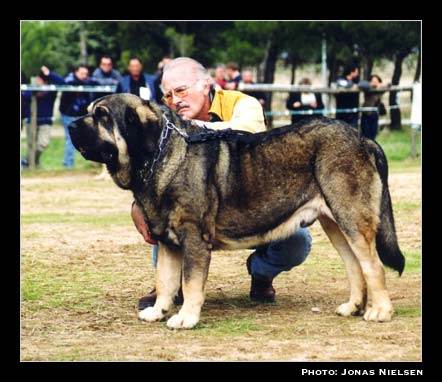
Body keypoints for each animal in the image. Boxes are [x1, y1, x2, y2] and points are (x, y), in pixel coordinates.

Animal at [69, 92, 404, 328]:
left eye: (101, 115)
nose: (71, 125)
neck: (161, 155)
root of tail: (364, 138)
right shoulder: (168, 242)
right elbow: (165, 280)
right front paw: (158, 310)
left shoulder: (194, 239)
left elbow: (190, 282)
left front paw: (185, 317)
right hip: (334, 222)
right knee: (354, 265)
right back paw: (353, 307)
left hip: (352, 218)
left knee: (372, 265)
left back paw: (379, 311)